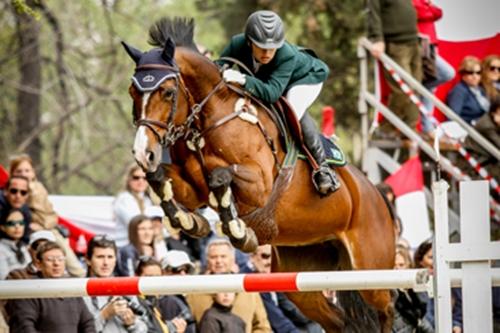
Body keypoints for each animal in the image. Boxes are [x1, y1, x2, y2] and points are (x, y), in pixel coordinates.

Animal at [124, 17, 394, 332]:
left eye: (167, 92)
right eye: (132, 92)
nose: (143, 153)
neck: (209, 119)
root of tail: (375, 193)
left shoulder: (260, 185)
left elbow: (219, 176)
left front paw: (239, 231)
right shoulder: (192, 188)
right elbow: (160, 180)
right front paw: (191, 222)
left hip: (371, 267)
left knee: (387, 308)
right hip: (303, 274)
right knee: (338, 321)